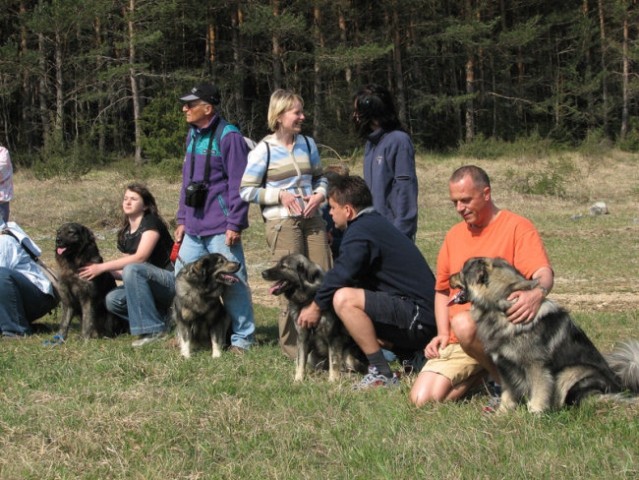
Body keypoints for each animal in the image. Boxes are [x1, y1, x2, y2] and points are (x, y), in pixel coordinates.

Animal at [262, 251, 364, 382]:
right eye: (278, 264)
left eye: (283, 266)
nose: (263, 273)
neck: (308, 298)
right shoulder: (302, 336)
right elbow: (300, 361)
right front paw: (298, 379)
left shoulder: (333, 336)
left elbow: (334, 361)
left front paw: (332, 380)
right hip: (312, 356)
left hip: (348, 355)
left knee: (350, 368)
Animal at [450, 258, 639, 412]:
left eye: (461, 272)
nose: (448, 278)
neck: (499, 308)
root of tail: (620, 385)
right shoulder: (505, 367)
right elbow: (508, 394)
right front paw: (502, 414)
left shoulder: (536, 365)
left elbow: (539, 392)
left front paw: (535, 414)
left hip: (572, 372)